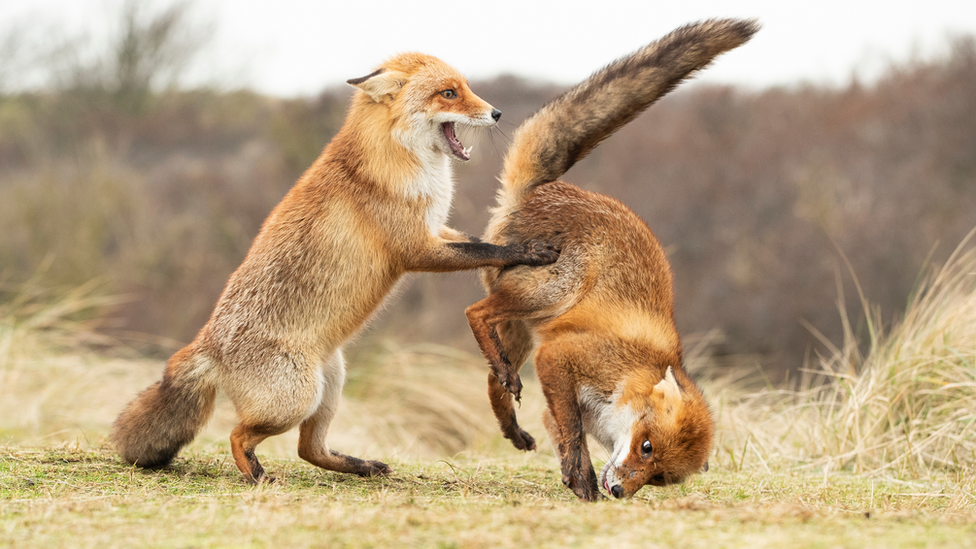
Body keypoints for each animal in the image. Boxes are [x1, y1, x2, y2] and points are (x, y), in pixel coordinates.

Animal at [111, 52, 556, 480]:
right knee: (238, 436)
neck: (399, 162)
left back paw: (361, 467)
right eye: (448, 93)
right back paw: (257, 476)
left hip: (331, 383)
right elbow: (487, 251)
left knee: (309, 449)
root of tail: (206, 344)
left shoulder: (435, 230)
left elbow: (480, 243)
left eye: (465, 87)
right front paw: (531, 251)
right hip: (295, 399)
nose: (497, 113)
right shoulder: (416, 249)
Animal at [466, 19, 764, 498]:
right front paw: (583, 476)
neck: (633, 373)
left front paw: (574, 477)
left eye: (657, 476)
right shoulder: (560, 358)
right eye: (646, 447)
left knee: (494, 377)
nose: (620, 491)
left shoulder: (555, 390)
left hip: (521, 331)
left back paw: (512, 426)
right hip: (551, 293)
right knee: (475, 313)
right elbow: (572, 430)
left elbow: (559, 428)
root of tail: (542, 190)